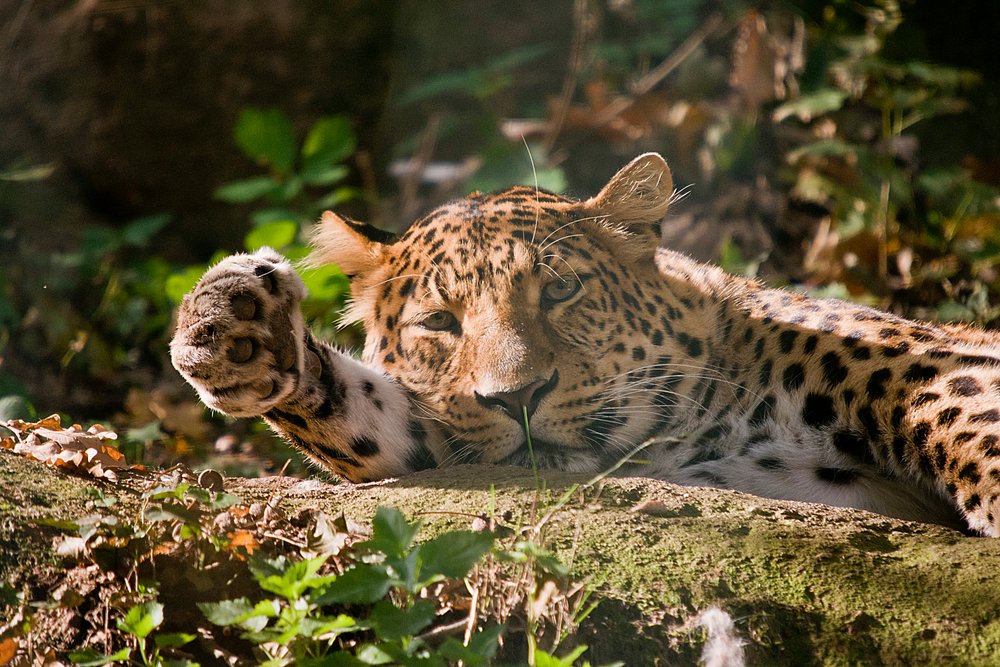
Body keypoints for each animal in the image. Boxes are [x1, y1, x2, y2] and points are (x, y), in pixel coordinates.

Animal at [170, 153, 1000, 536]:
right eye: (440, 324)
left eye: (560, 290)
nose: (518, 398)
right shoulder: (444, 442)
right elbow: (369, 418)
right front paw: (239, 329)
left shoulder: (940, 364)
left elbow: (972, 428)